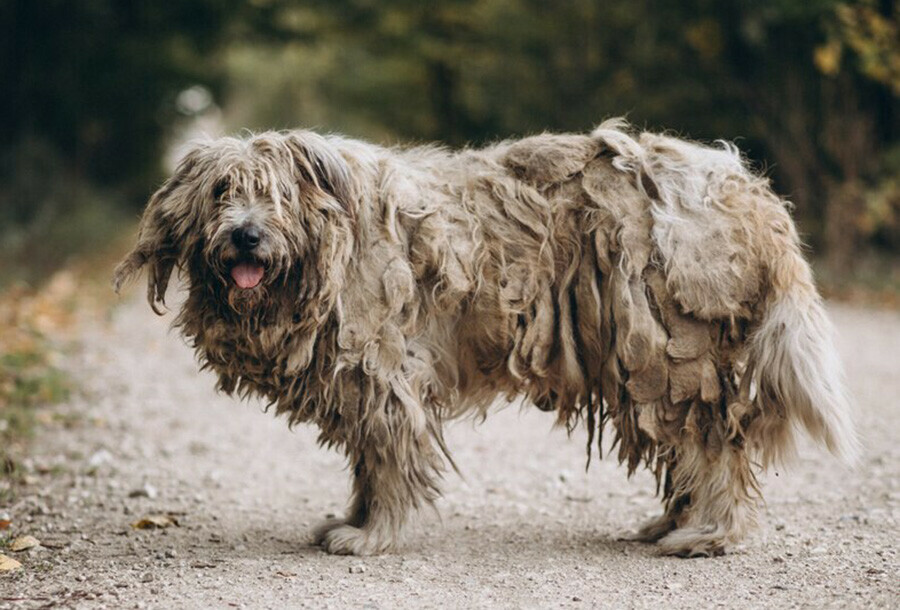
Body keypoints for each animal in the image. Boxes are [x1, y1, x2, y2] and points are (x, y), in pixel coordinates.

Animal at [114, 119, 856, 556]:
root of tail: (750, 192)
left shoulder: (384, 369)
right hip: (648, 361)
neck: (333, 243)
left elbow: (390, 458)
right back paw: (674, 522)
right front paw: (353, 519)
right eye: (221, 192)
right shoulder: (362, 379)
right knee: (688, 448)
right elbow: (368, 460)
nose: (245, 235)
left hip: (678, 350)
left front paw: (373, 535)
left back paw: (709, 534)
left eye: (276, 196)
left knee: (716, 447)